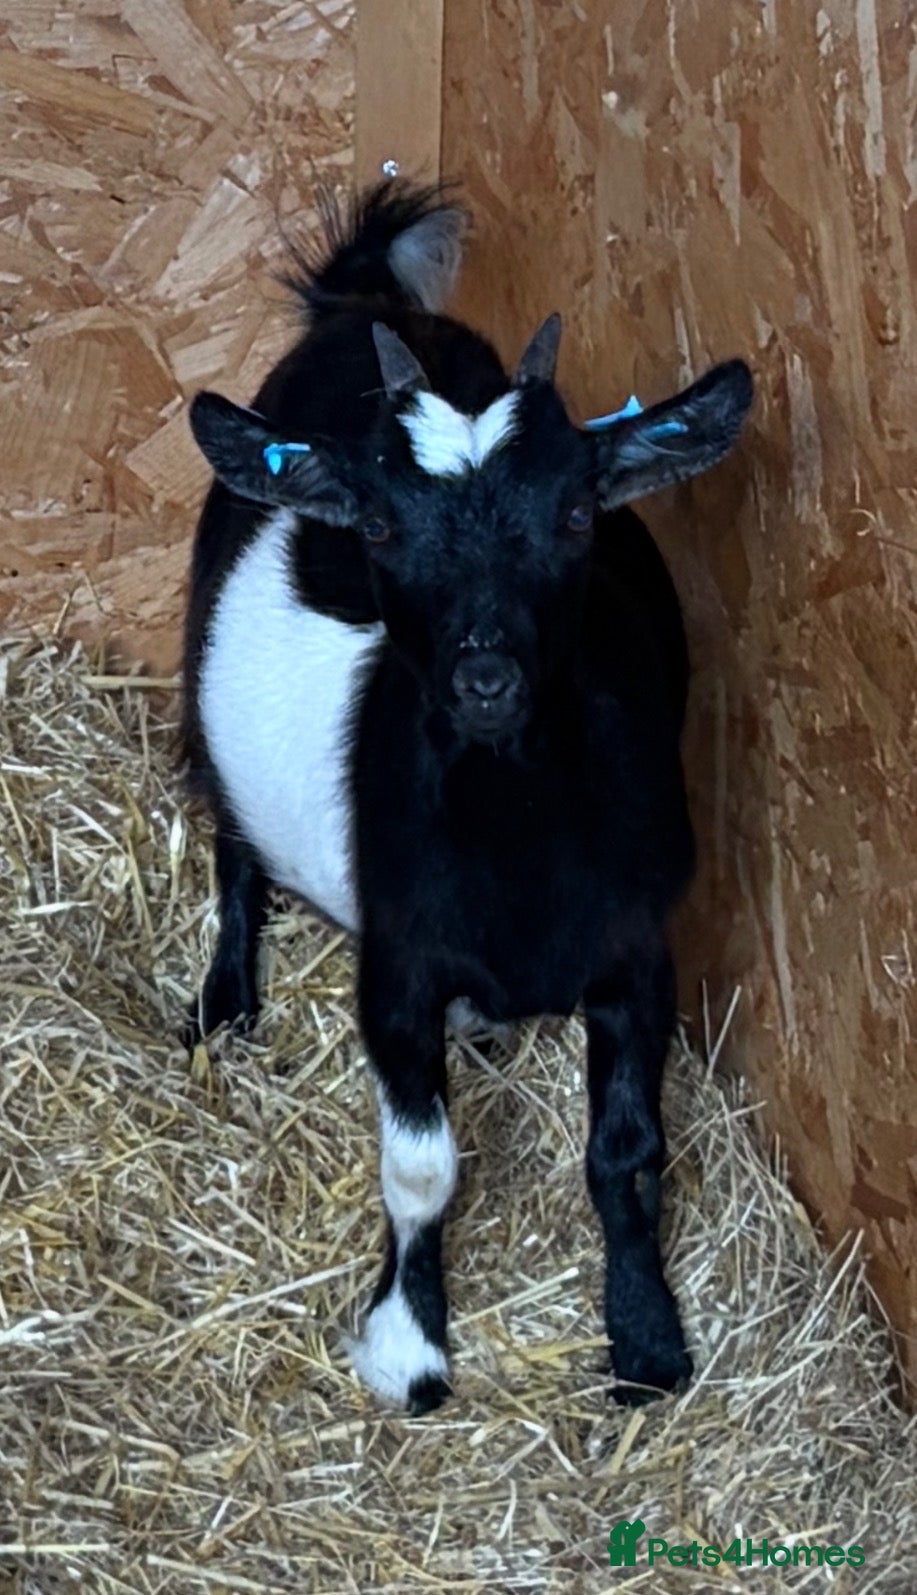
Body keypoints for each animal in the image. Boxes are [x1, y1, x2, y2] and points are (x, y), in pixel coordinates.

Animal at [182, 181, 753, 1413]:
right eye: (379, 524)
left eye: (578, 515)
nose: (484, 679)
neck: (514, 857)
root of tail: (366, 308)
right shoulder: (397, 967)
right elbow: (419, 1164)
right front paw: (408, 1344)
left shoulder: (635, 953)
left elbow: (626, 1152)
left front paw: (646, 1340)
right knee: (230, 835)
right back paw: (224, 1002)